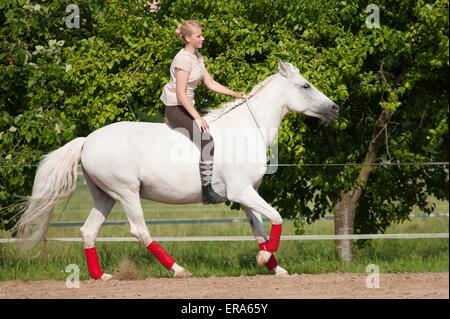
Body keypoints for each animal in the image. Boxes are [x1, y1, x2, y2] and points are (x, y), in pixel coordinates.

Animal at [13, 61, 338, 282]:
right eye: (306, 86)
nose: (335, 109)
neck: (246, 129)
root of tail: (86, 141)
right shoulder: (242, 192)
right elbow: (277, 218)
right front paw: (264, 258)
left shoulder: (247, 195)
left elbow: (259, 228)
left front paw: (274, 265)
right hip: (126, 192)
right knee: (139, 230)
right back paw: (179, 270)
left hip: (104, 196)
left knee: (88, 230)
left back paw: (101, 276)